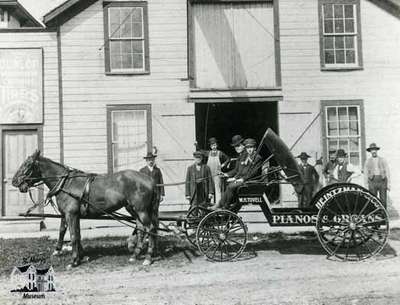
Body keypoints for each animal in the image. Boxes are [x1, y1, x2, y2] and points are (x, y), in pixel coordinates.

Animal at [11, 150, 158, 266]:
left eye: (27, 165)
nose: (14, 181)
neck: (66, 184)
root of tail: (150, 180)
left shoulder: (71, 214)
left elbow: (73, 235)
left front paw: (74, 261)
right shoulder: (72, 215)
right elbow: (73, 233)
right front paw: (81, 257)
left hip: (141, 210)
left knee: (150, 228)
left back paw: (148, 257)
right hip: (133, 210)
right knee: (141, 229)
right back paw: (135, 255)